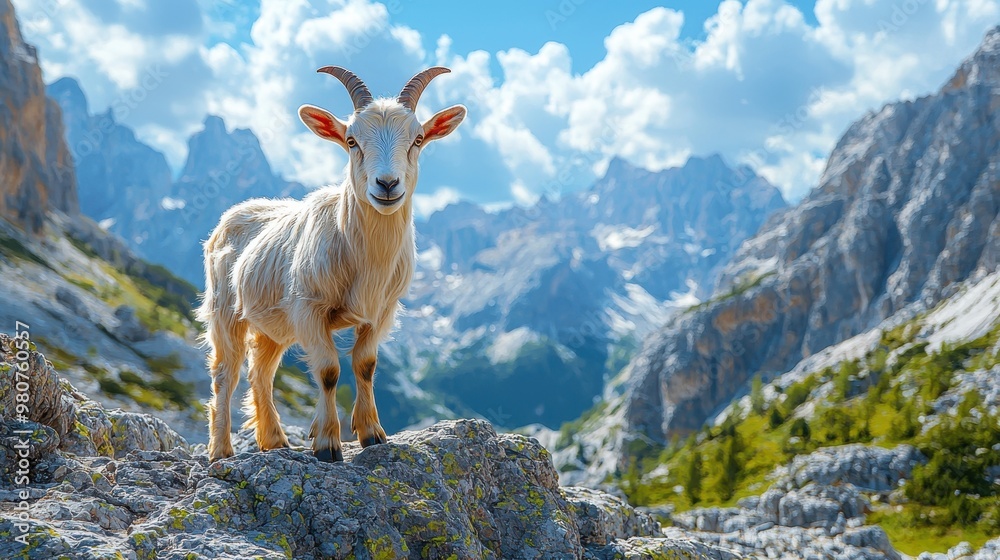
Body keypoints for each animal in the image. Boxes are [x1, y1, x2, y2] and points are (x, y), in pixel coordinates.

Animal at [198, 67, 466, 462]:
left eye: (418, 139)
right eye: (352, 141)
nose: (387, 184)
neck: (366, 259)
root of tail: (231, 216)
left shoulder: (382, 310)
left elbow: (365, 366)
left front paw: (372, 434)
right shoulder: (309, 308)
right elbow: (328, 371)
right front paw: (326, 445)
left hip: (274, 324)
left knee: (260, 373)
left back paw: (274, 440)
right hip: (225, 308)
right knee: (225, 374)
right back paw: (221, 451)